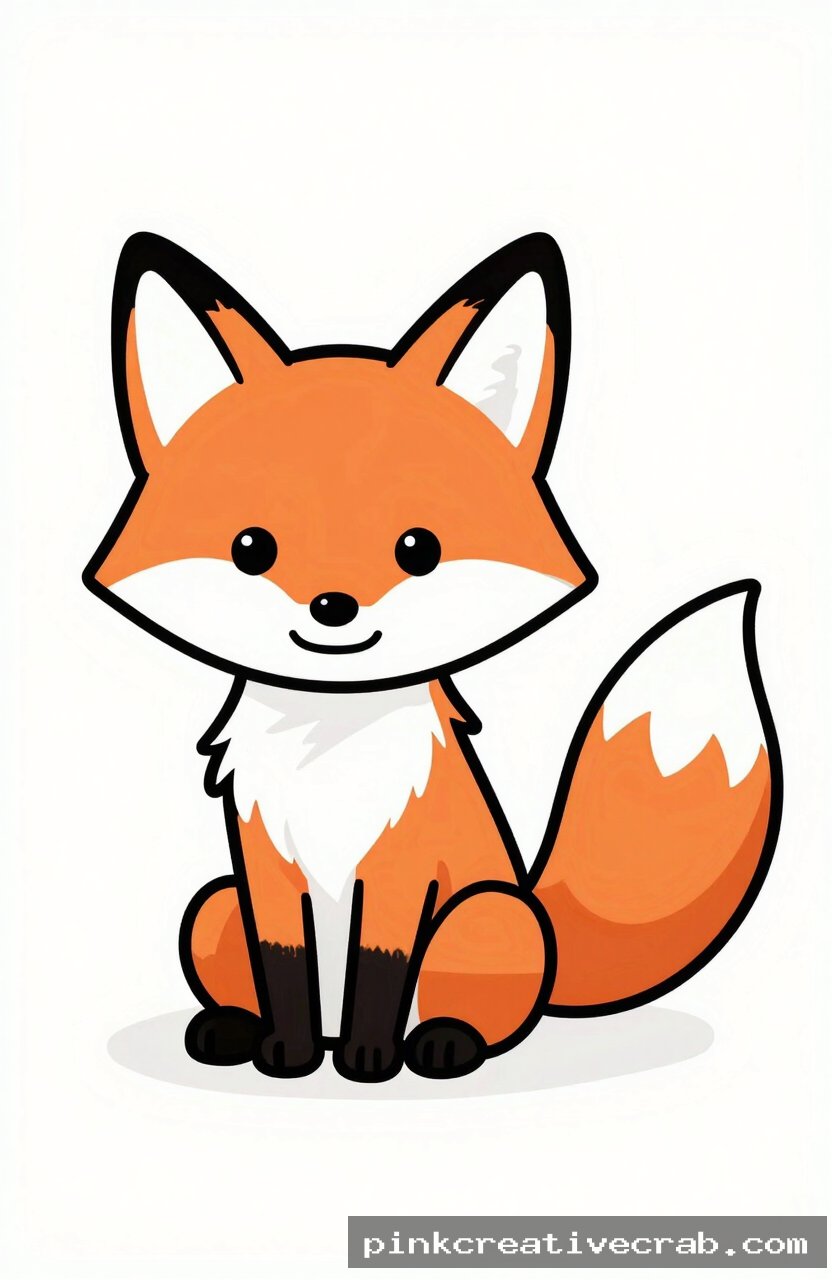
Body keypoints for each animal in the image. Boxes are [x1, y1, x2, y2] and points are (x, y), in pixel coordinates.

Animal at [84, 231, 781, 1083]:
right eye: (252, 548)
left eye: (418, 548)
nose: (333, 608)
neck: (331, 746)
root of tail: (540, 910)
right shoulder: (264, 869)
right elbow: (285, 968)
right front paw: (287, 1054)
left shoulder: (400, 868)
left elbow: (381, 970)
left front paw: (369, 1059)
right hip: (216, 904)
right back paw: (232, 1030)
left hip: (485, 913)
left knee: (471, 1007)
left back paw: (444, 1044)